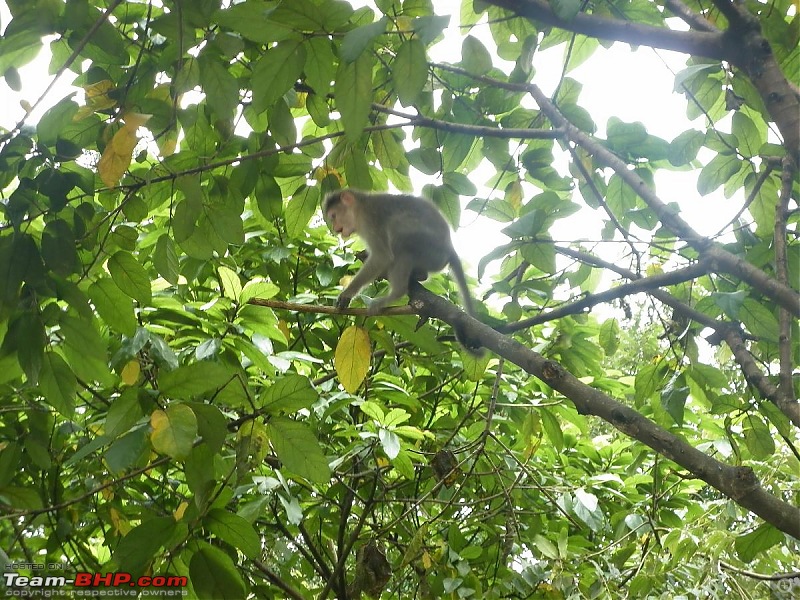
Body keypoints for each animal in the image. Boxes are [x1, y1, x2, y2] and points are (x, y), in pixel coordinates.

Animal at [320, 190, 482, 354]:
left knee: (401, 240)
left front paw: (347, 294)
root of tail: (450, 250)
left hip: (430, 249)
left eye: (333, 216)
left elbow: (382, 257)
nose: (336, 229)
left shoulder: (371, 220)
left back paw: (396, 292)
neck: (360, 207)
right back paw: (418, 275)